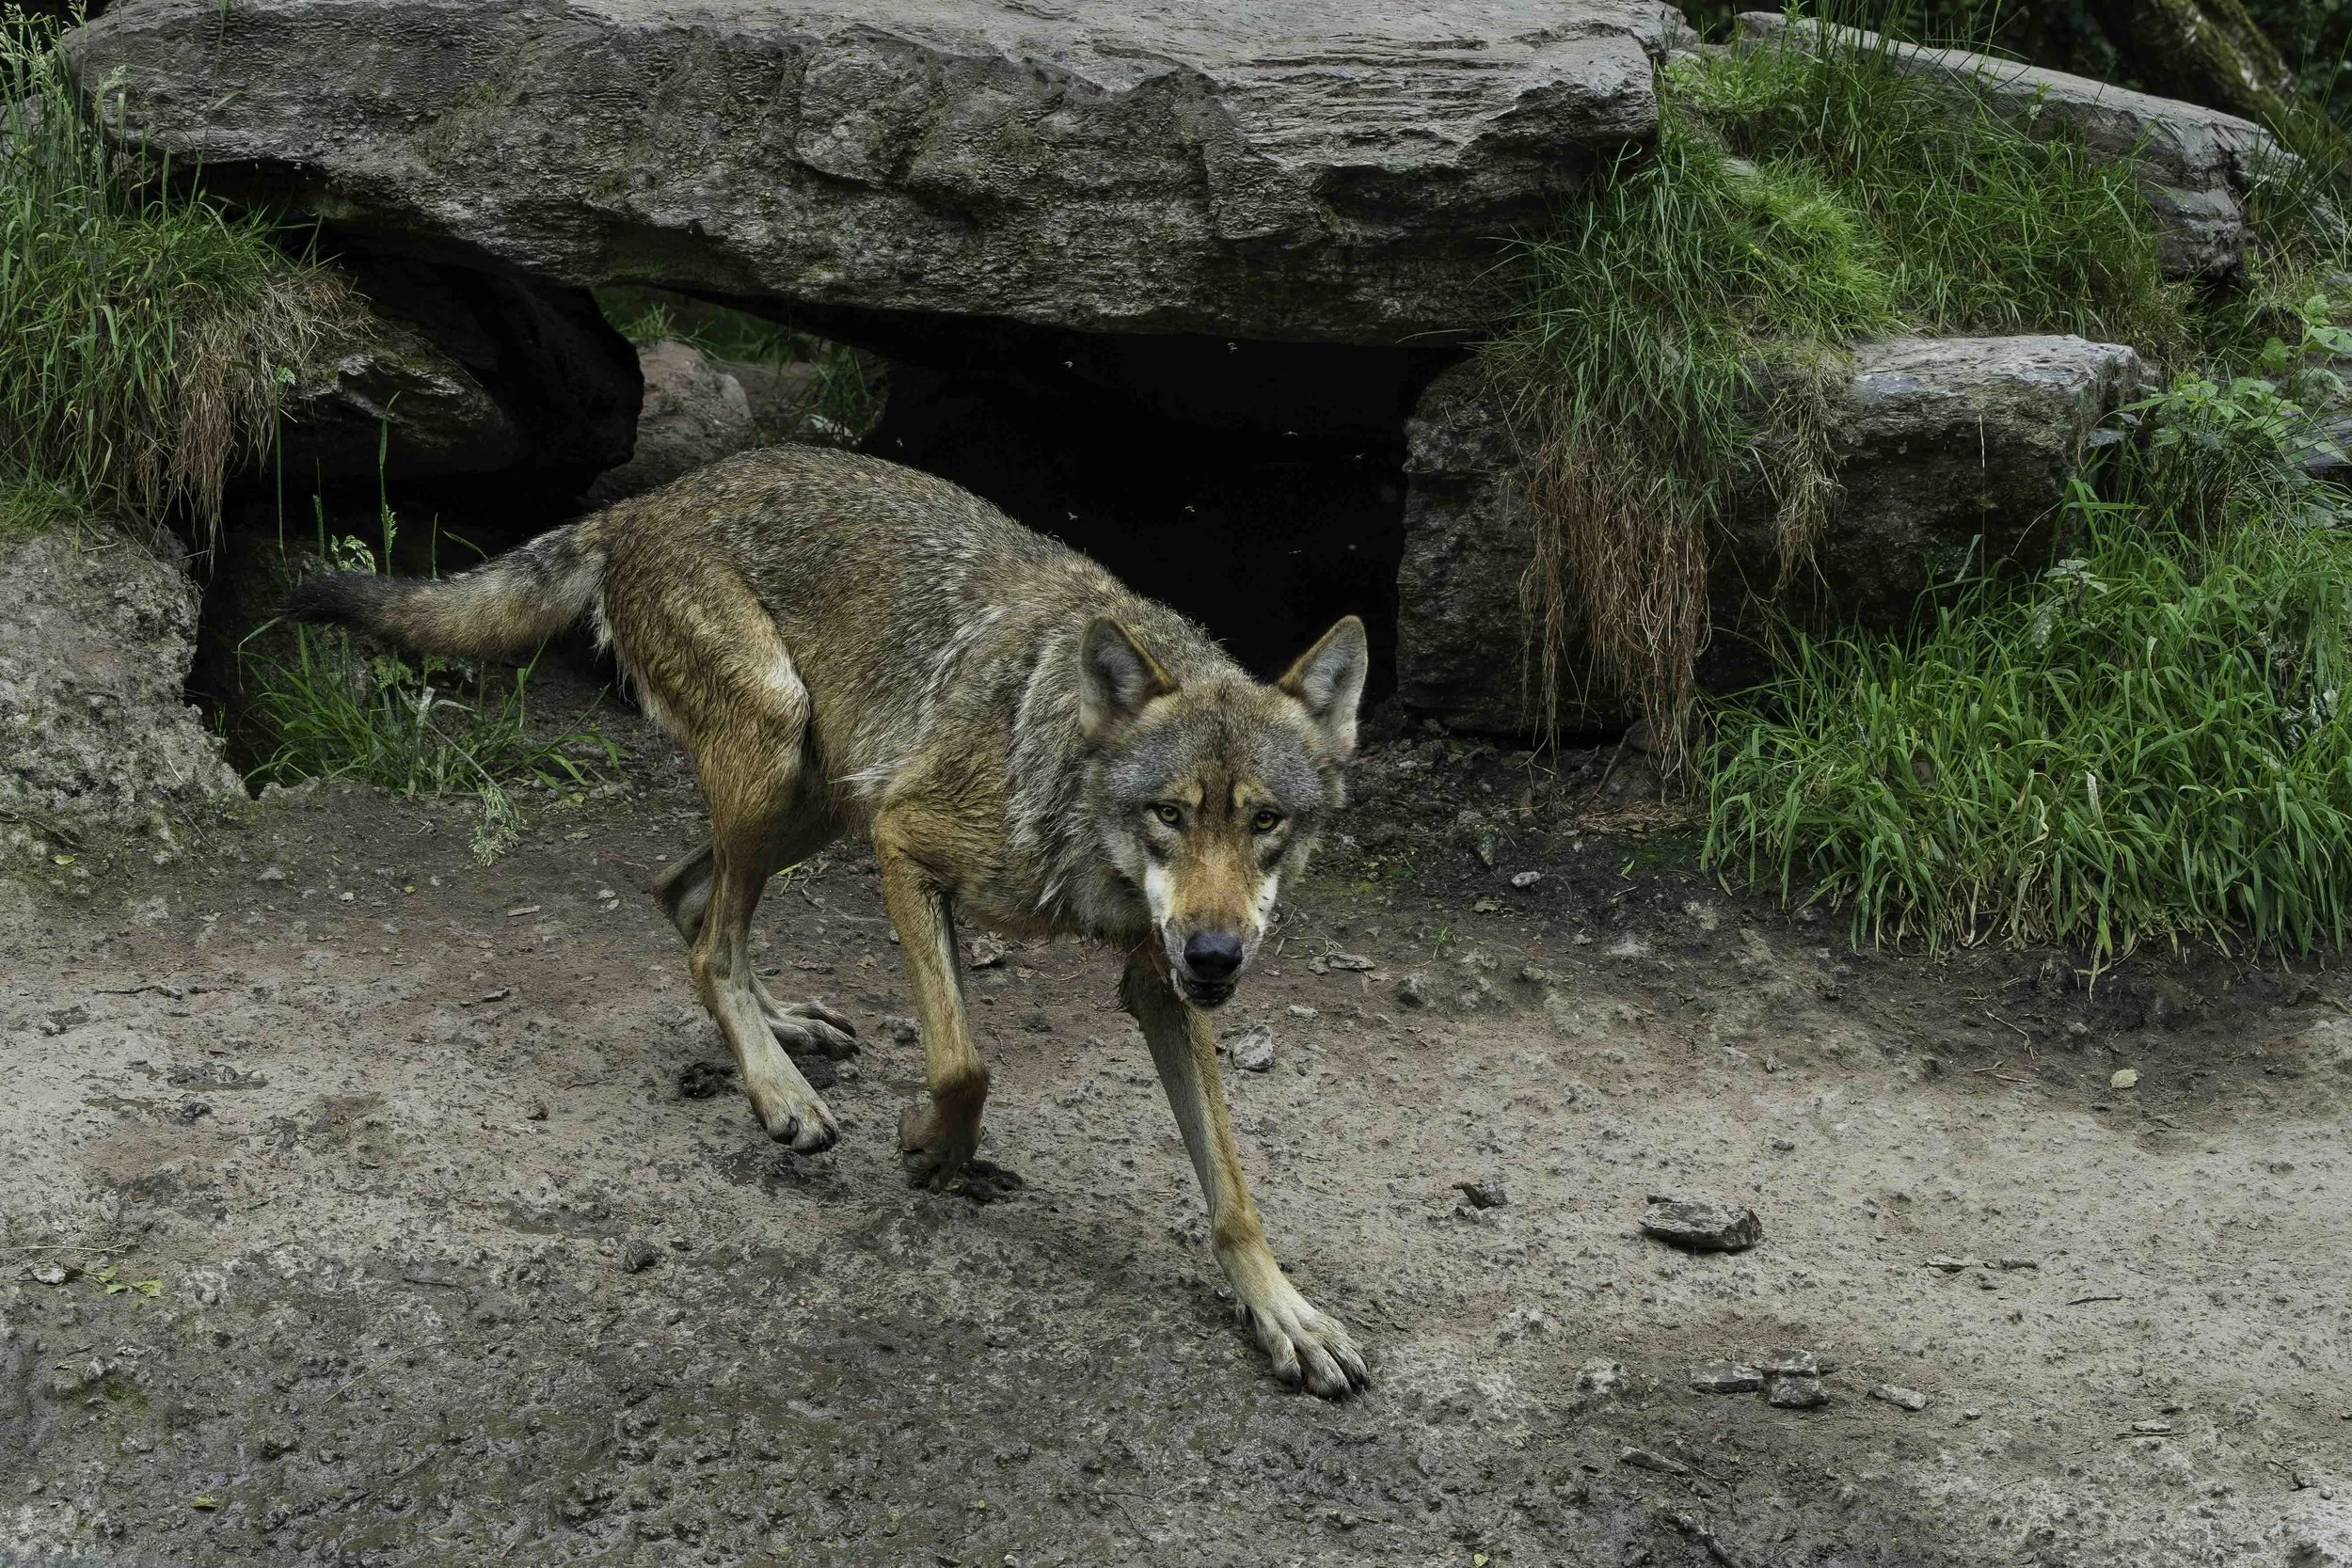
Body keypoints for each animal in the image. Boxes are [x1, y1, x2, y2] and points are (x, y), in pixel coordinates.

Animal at [287, 445, 1372, 1397]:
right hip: (787, 754)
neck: (1073, 795)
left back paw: (783, 1031)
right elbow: (963, 1063)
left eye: (1265, 822)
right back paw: (781, 1091)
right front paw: (933, 1148)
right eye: (1169, 814)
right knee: (708, 940)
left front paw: (1284, 1313)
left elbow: (1231, 1192)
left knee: (682, 896)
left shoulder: (1157, 979)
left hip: (819, 791)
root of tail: (640, 504)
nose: (1219, 953)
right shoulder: (905, 842)